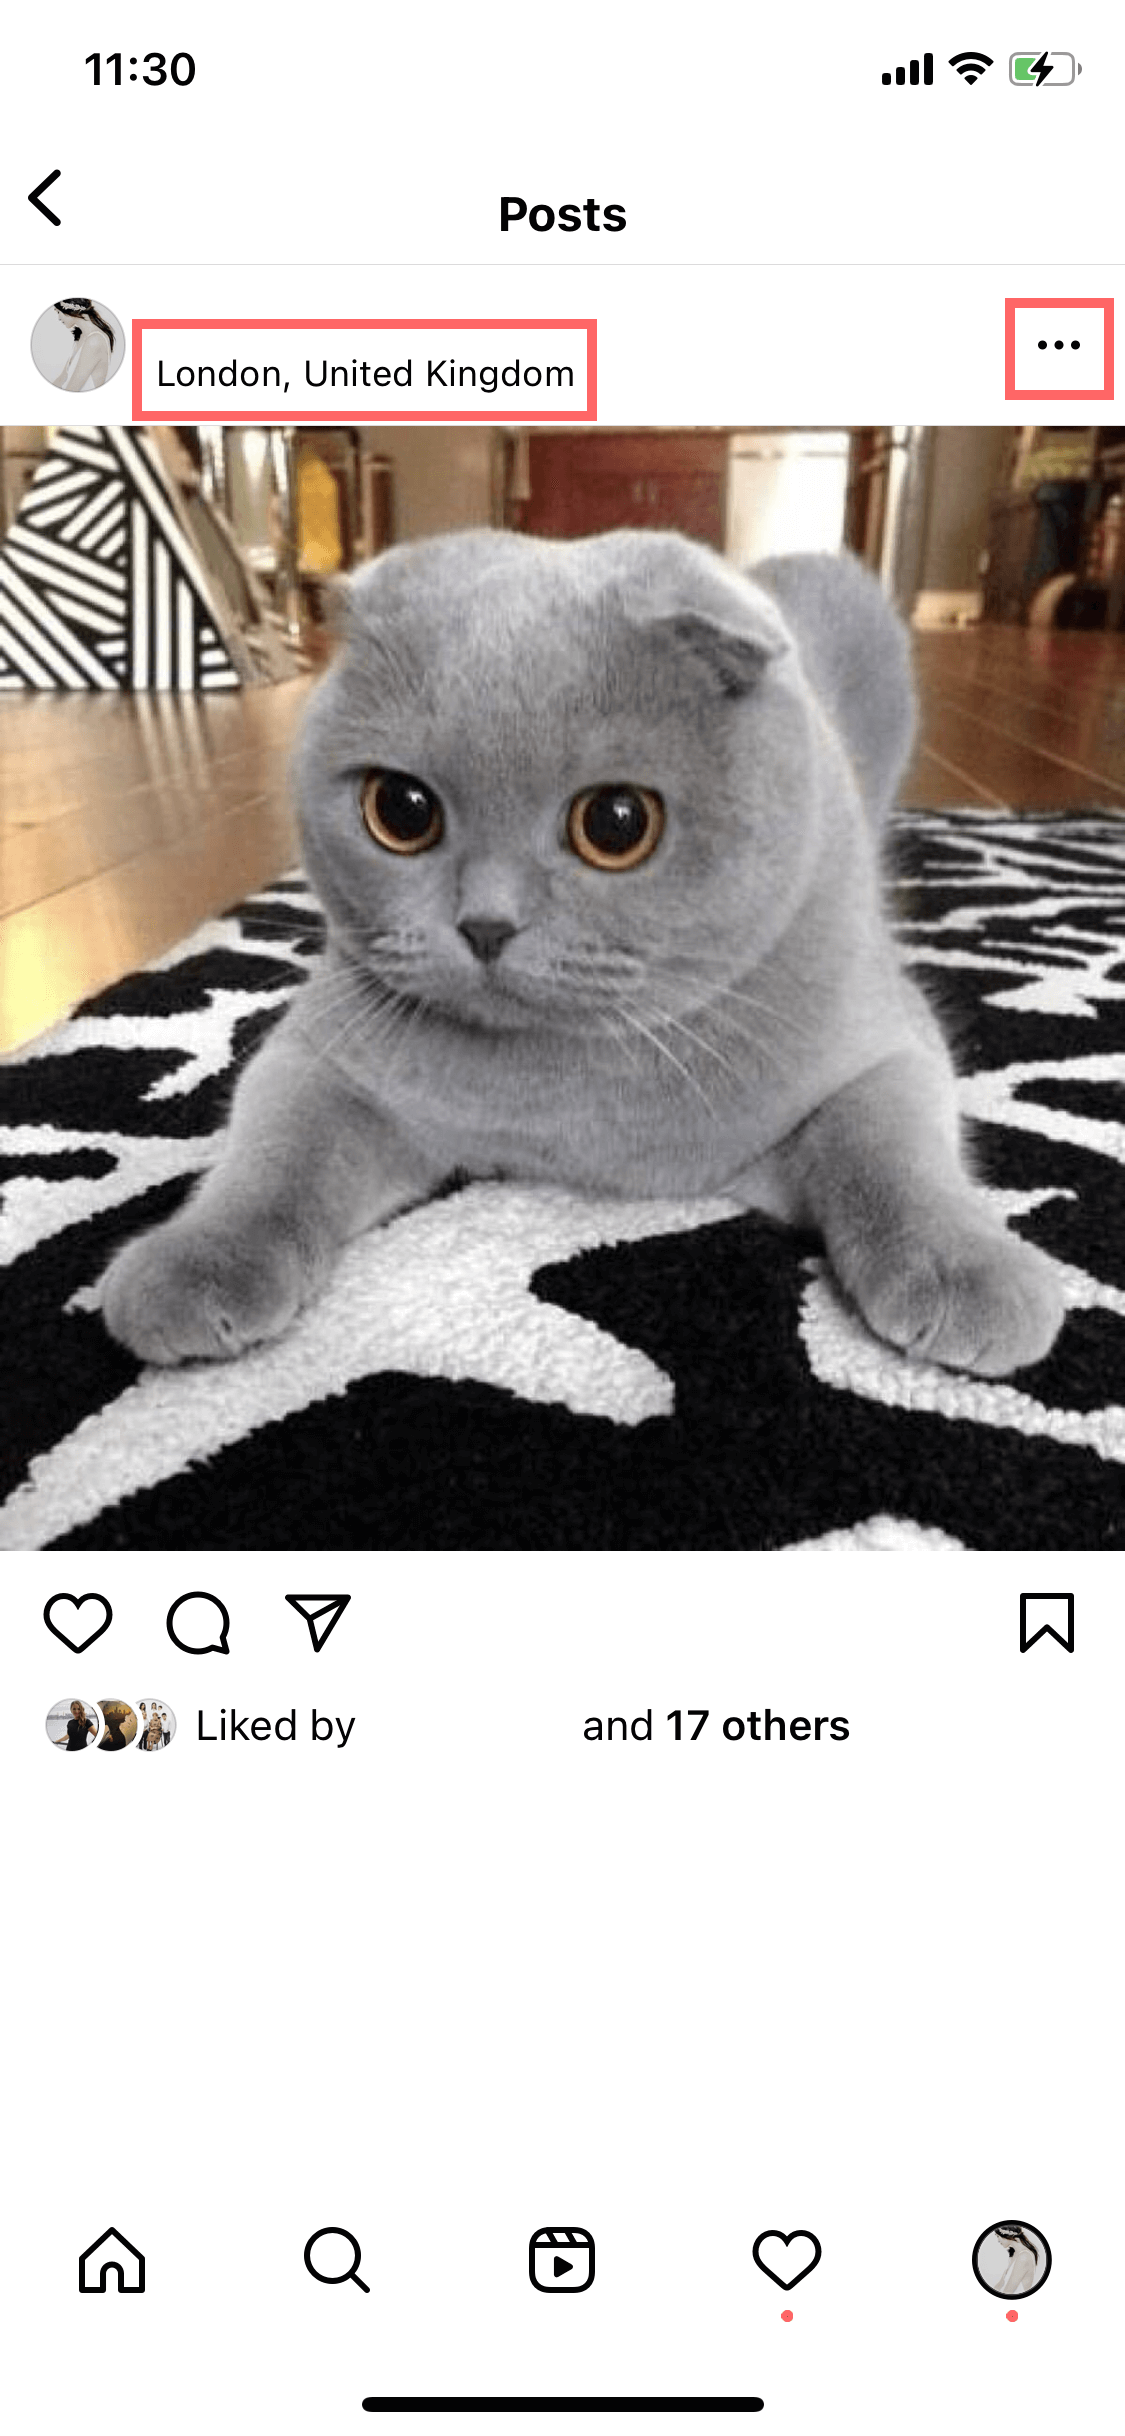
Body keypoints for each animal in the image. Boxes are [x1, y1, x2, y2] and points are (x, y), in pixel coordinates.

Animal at [101, 529, 1064, 1377]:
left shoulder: (882, 1045)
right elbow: (274, 1157)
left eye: (616, 823)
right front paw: (197, 1263)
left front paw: (962, 1272)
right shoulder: (321, 1053)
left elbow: (893, 1156)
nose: (485, 925)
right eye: (400, 811)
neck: (568, 1102)